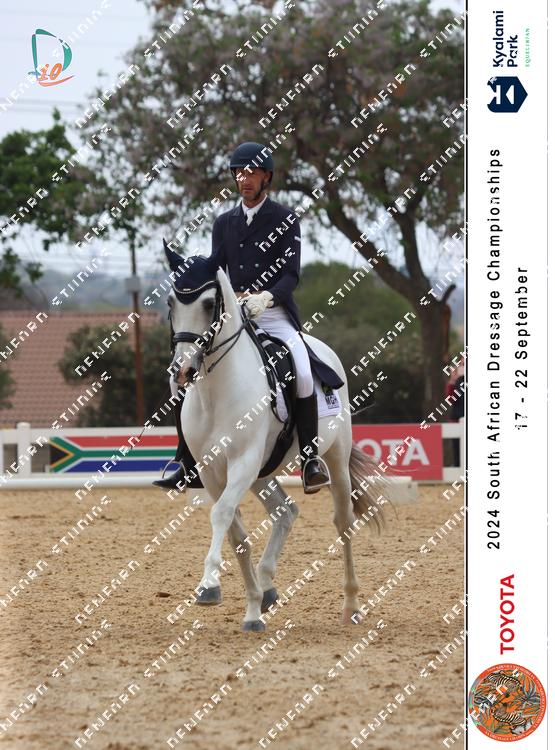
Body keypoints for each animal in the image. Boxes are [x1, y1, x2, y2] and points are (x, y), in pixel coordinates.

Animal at [166, 256, 388, 632]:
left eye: (209, 304)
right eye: (170, 303)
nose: (182, 371)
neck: (216, 392)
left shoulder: (242, 461)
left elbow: (221, 514)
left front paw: (208, 584)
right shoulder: (212, 472)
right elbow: (236, 534)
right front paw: (252, 608)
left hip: (334, 459)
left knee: (343, 523)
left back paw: (351, 605)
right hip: (263, 473)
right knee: (286, 511)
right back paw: (268, 588)